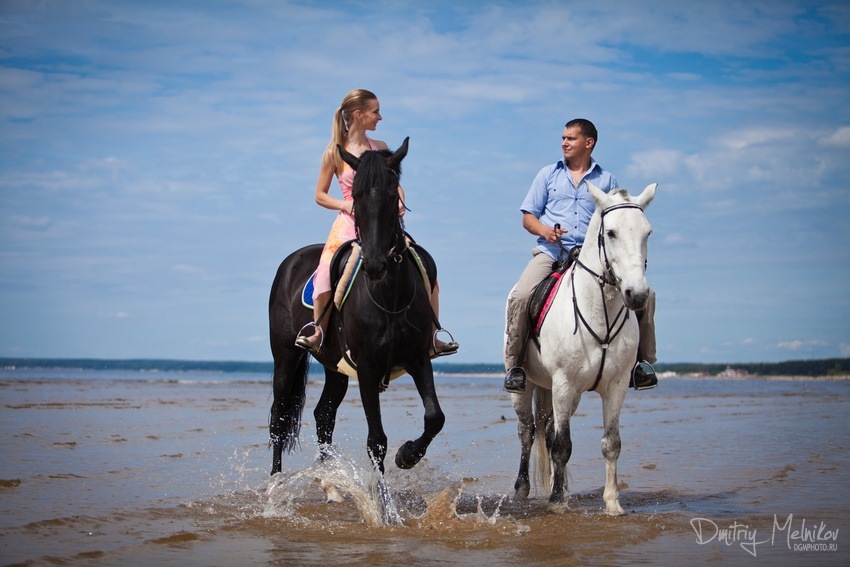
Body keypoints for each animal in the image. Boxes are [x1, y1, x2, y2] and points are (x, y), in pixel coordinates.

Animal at [270, 139, 444, 480]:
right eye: (357, 196)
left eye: (393, 194)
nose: (376, 264)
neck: (389, 297)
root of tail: (291, 260)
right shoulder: (366, 368)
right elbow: (376, 440)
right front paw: (382, 495)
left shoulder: (418, 358)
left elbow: (434, 417)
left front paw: (407, 455)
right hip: (285, 355)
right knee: (279, 416)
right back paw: (275, 481)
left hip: (334, 366)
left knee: (323, 414)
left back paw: (327, 475)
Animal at [504, 181, 656, 516]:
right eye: (610, 232)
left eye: (647, 232)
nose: (637, 295)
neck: (600, 311)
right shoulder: (564, 383)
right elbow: (562, 445)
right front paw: (557, 503)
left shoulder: (616, 386)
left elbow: (611, 443)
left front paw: (612, 504)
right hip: (527, 386)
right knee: (527, 432)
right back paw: (521, 490)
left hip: (556, 391)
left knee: (547, 430)